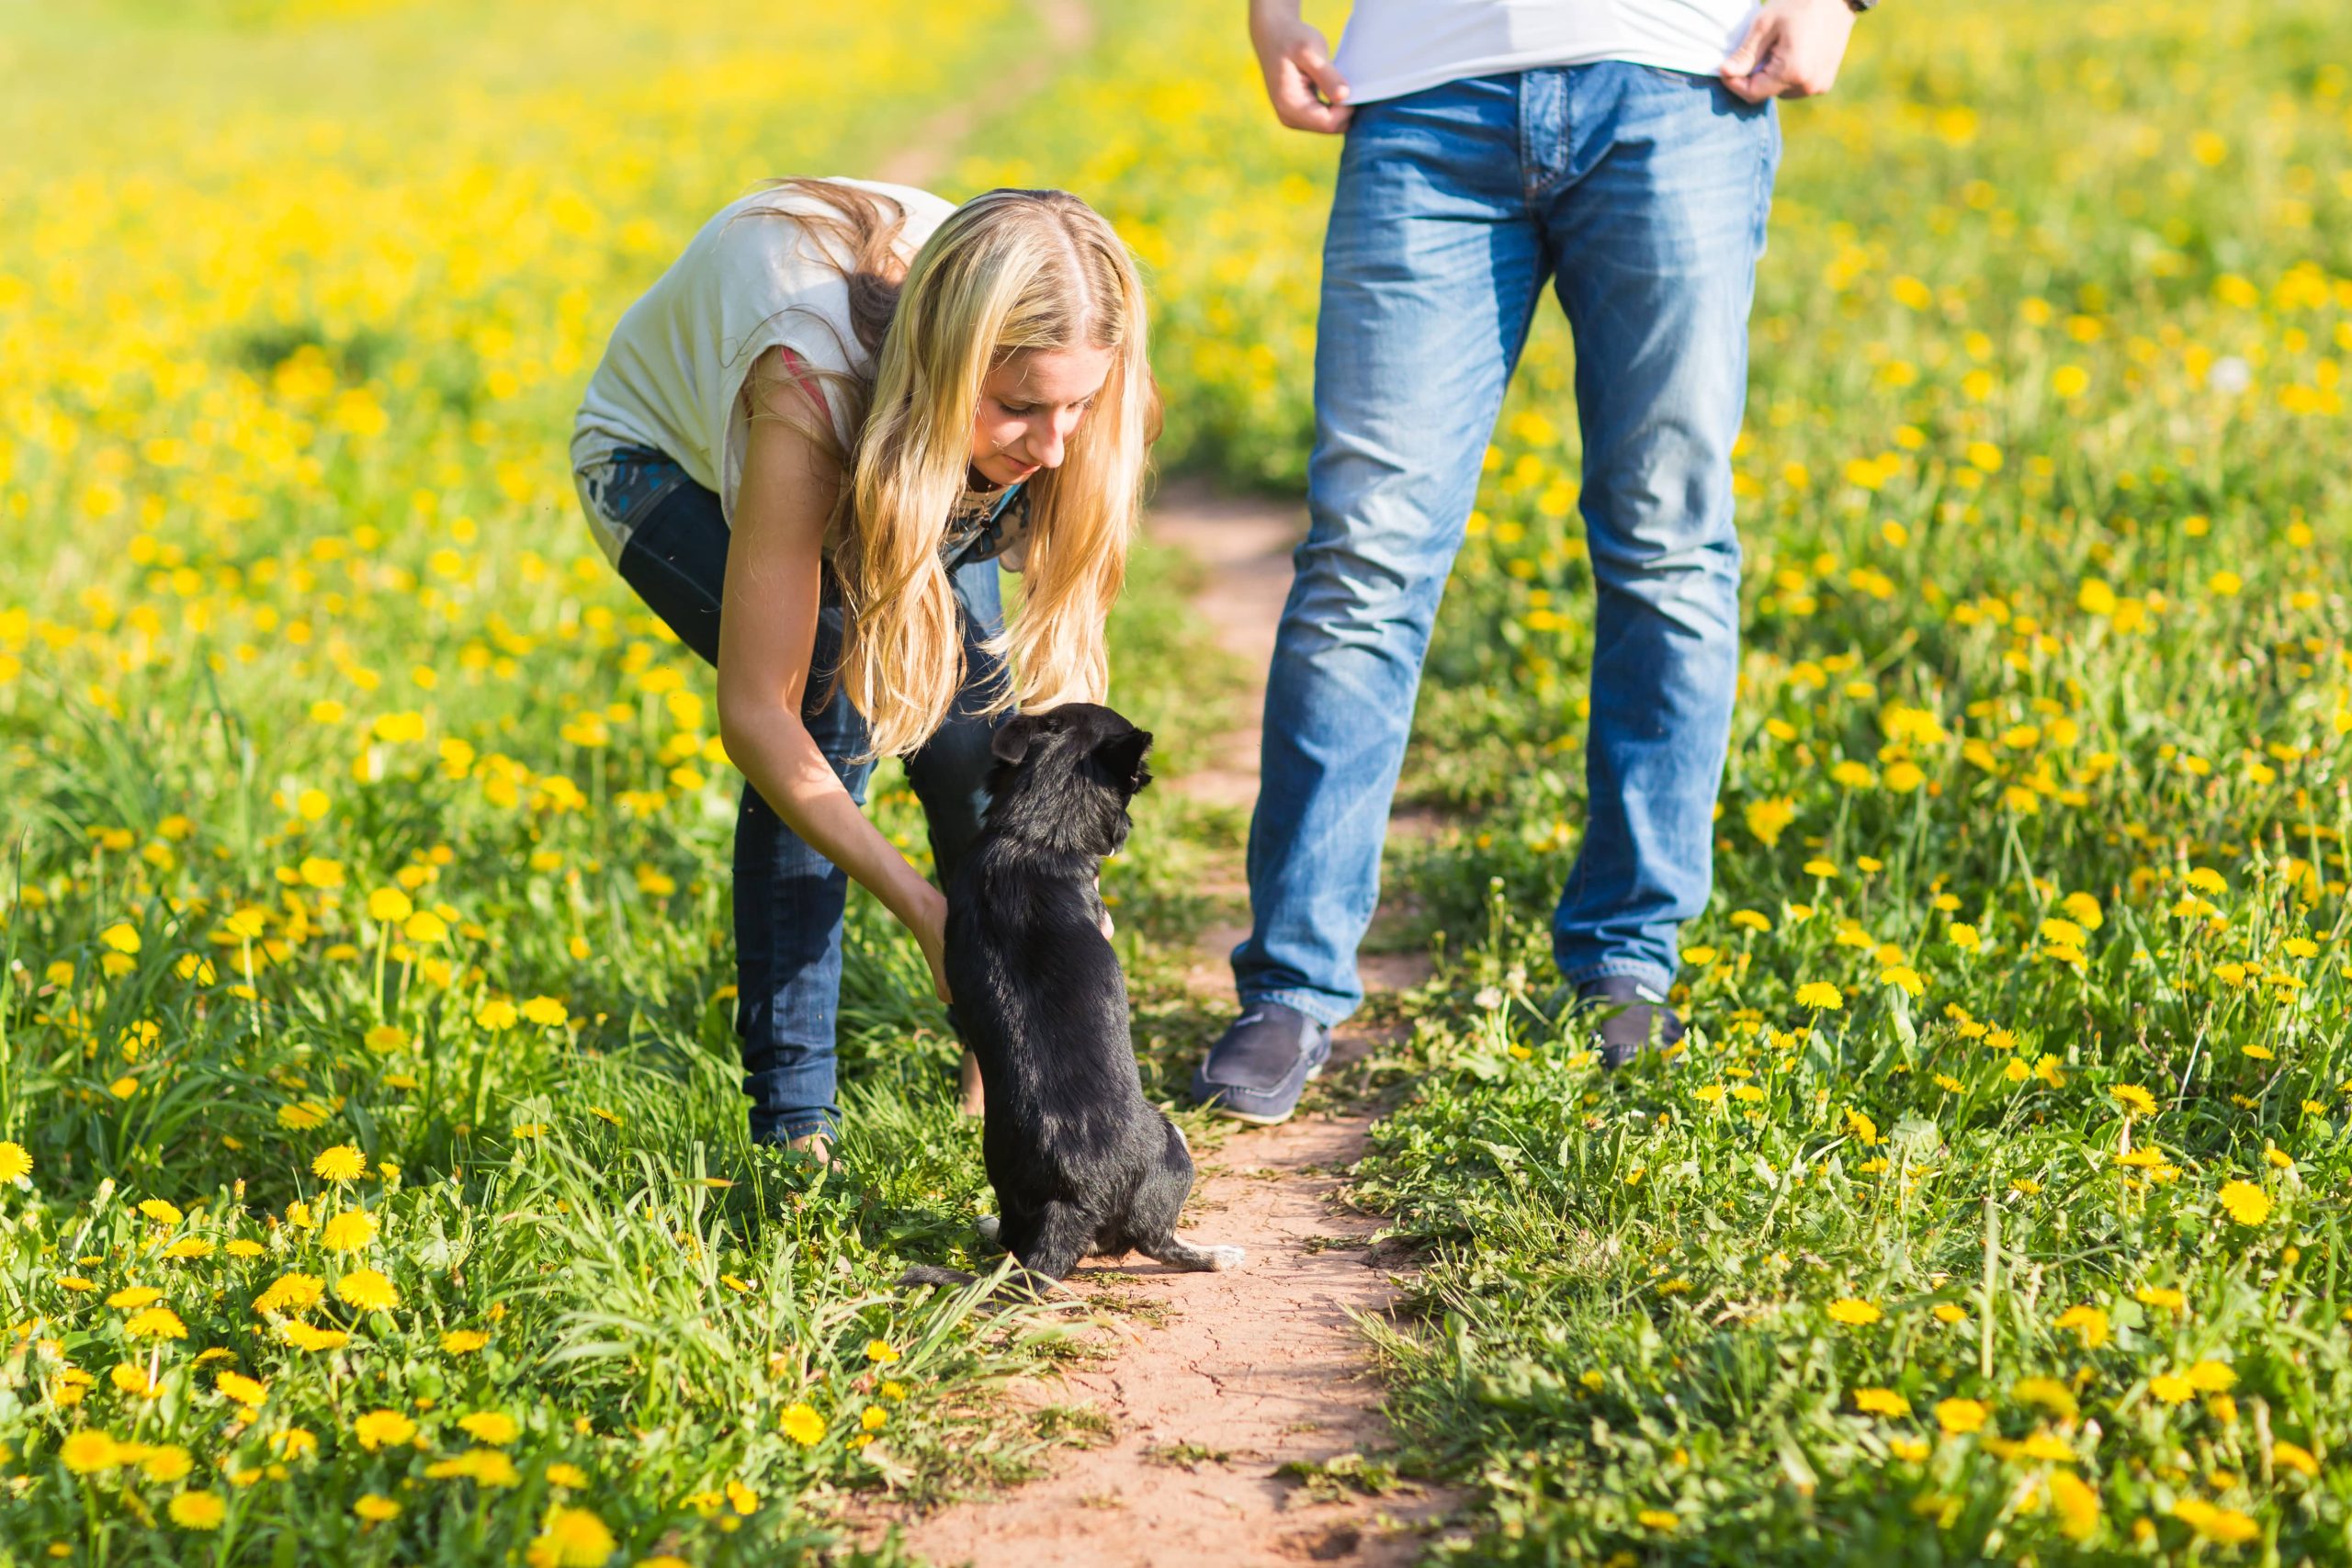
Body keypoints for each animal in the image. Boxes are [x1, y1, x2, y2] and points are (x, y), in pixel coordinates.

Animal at [935, 705, 1241, 1279]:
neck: (1033, 836)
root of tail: (1073, 1199)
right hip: (1173, 1138)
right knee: (1156, 1242)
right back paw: (1217, 1254)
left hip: (1007, 1180)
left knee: (1013, 1236)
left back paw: (989, 1227)